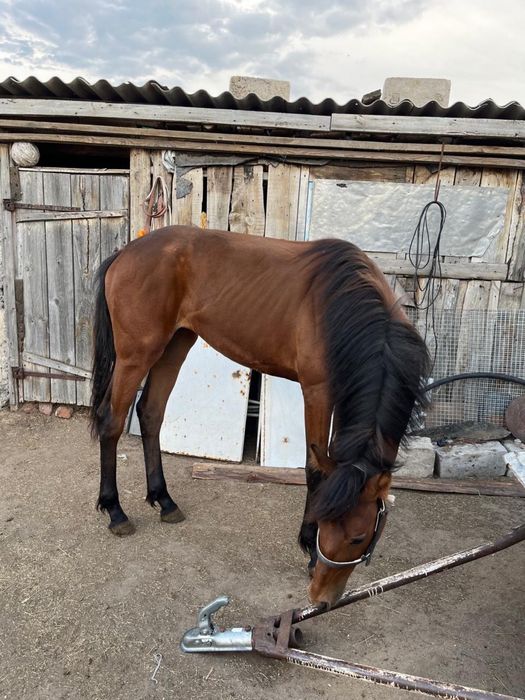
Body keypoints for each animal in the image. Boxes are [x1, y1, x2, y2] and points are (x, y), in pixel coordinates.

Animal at [90, 224, 430, 606]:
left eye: (358, 537)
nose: (321, 596)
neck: (346, 307)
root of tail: (125, 253)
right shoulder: (317, 391)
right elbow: (315, 469)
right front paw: (307, 545)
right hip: (136, 355)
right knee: (111, 421)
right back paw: (114, 510)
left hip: (175, 344)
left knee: (150, 414)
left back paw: (164, 501)